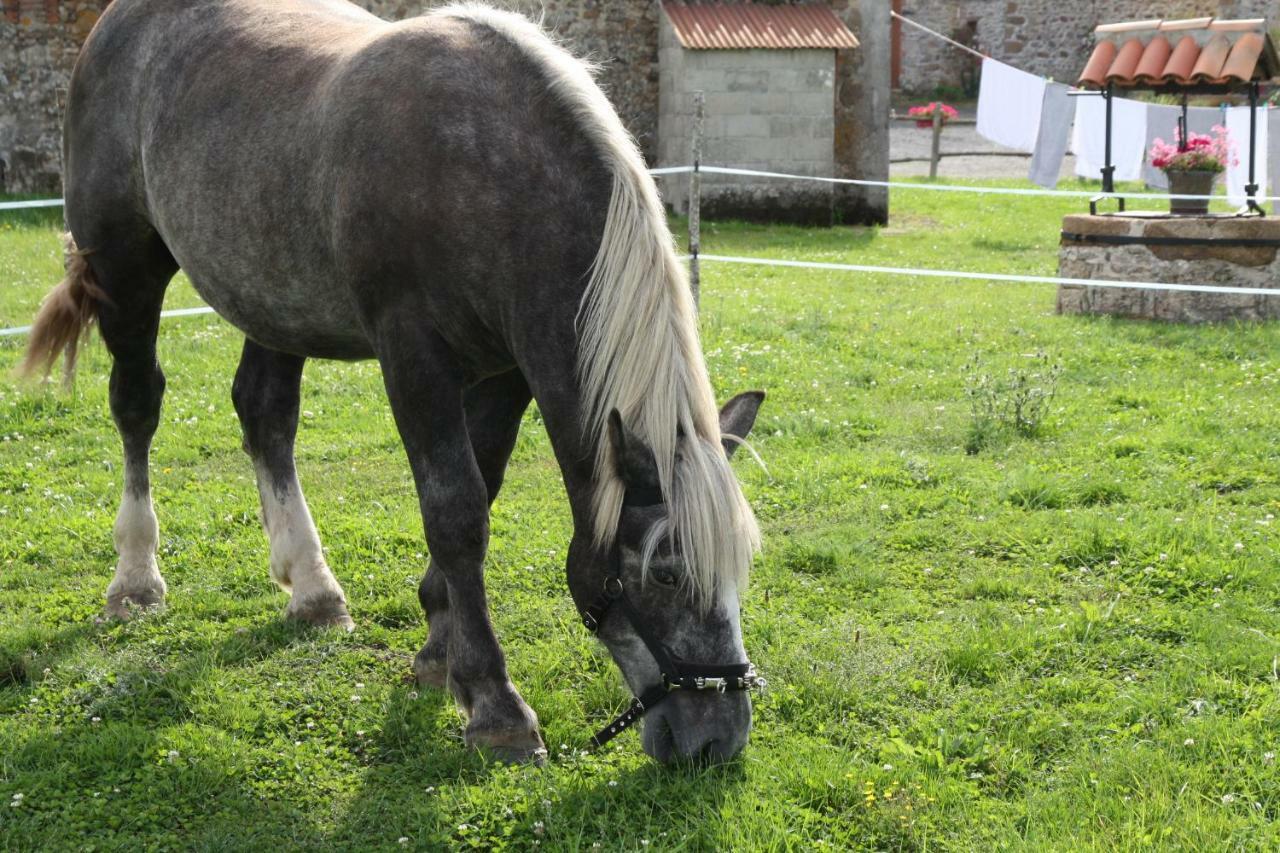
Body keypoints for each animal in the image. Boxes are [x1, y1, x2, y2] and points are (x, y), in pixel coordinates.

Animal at [24, 0, 762, 763]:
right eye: (666, 572)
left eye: (741, 566)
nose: (718, 740)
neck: (493, 176)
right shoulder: (413, 357)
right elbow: (456, 511)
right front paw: (494, 703)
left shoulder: (507, 370)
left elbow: (482, 487)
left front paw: (440, 653)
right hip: (124, 269)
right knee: (137, 407)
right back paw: (136, 580)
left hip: (273, 302)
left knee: (265, 414)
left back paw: (313, 590)